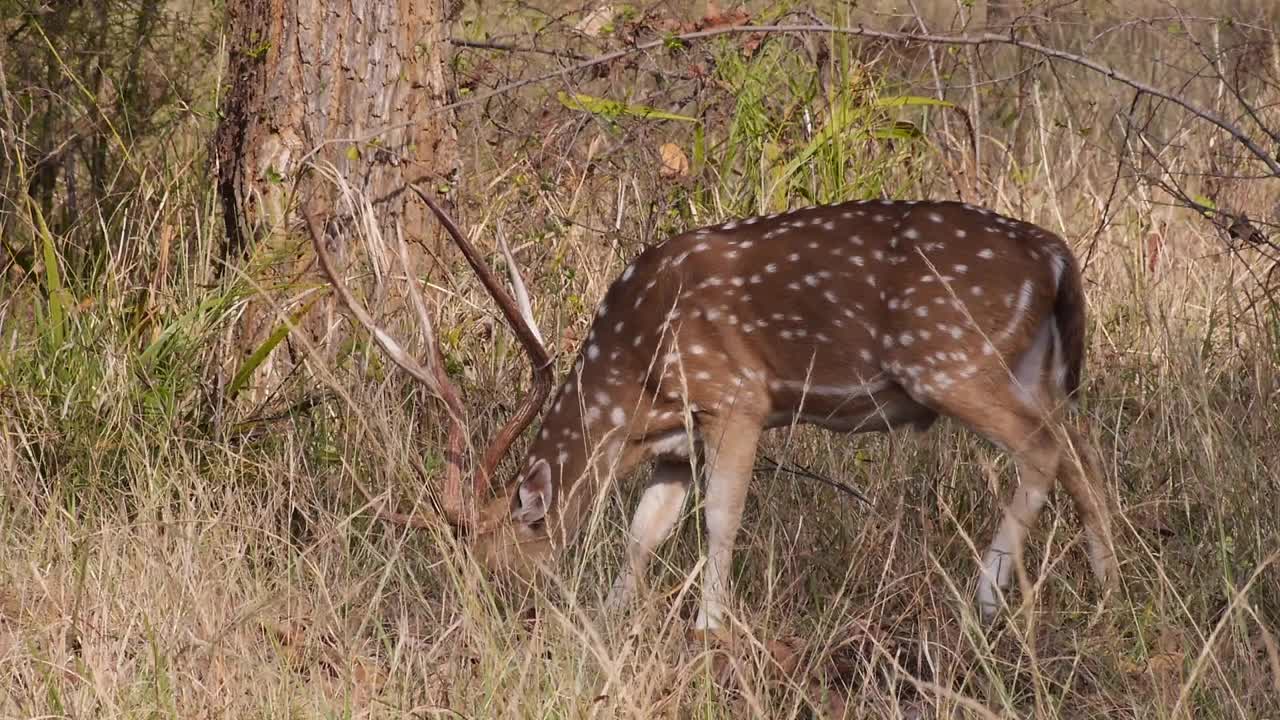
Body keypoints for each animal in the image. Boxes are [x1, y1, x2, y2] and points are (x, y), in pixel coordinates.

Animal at [304, 189, 1116, 627]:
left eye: (497, 565)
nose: (504, 618)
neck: (630, 380)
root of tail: (1055, 257)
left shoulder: (737, 399)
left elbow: (721, 517)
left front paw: (708, 624)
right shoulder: (675, 439)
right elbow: (643, 531)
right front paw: (613, 619)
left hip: (950, 359)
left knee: (1044, 451)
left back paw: (984, 599)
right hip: (1035, 367)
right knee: (1081, 452)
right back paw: (1110, 585)